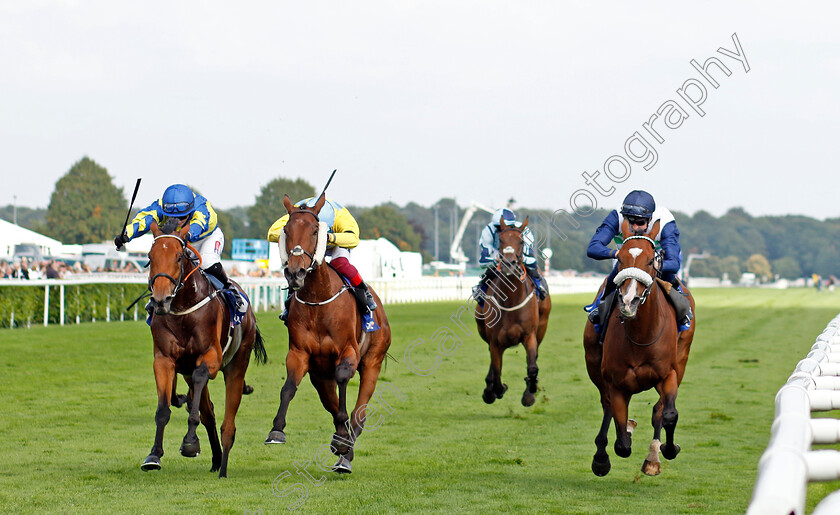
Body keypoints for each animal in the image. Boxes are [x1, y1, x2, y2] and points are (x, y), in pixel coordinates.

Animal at [141, 222, 266, 480]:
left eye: (179, 257)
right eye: (150, 256)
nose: (160, 300)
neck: (183, 310)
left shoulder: (211, 358)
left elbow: (199, 386)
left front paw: (190, 442)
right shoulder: (164, 360)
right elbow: (163, 408)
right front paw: (154, 455)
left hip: (237, 364)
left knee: (228, 422)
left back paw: (224, 466)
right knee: (209, 412)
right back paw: (216, 459)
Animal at [264, 195, 392, 476]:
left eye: (315, 230)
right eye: (286, 229)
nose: (296, 272)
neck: (318, 301)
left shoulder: (348, 351)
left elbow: (343, 380)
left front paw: (343, 445)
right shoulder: (299, 353)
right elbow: (288, 388)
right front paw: (277, 430)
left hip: (373, 362)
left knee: (359, 412)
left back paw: (346, 454)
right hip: (320, 376)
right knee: (332, 405)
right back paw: (341, 442)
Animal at [480, 217, 552, 408]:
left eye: (521, 241)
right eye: (501, 240)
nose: (508, 264)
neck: (510, 299)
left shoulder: (529, 335)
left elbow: (533, 368)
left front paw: (530, 393)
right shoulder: (495, 340)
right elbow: (497, 370)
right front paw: (496, 389)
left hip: (542, 328)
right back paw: (489, 389)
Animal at [584, 218, 696, 476]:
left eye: (650, 260)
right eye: (621, 259)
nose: (628, 301)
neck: (641, 335)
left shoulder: (669, 374)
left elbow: (668, 414)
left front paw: (668, 449)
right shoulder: (615, 381)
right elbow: (621, 441)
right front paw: (608, 452)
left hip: (682, 359)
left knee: (659, 410)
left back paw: (653, 457)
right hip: (594, 363)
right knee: (607, 407)